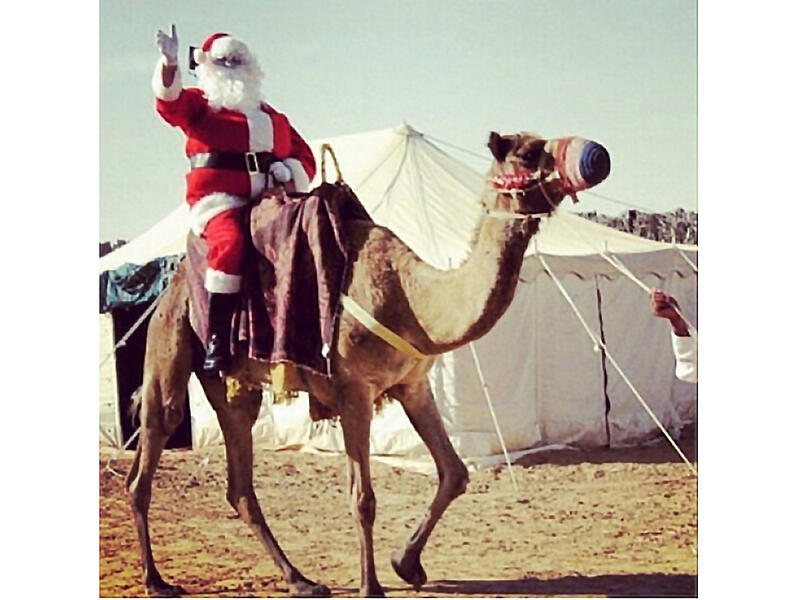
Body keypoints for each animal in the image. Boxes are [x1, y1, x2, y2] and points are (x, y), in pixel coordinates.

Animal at [125, 130, 610, 597]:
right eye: (528, 152)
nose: (596, 156)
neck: (413, 298)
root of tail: (168, 290)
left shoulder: (414, 384)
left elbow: (454, 472)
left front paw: (407, 565)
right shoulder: (353, 392)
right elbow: (363, 497)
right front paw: (372, 586)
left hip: (232, 384)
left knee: (240, 481)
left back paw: (302, 581)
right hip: (168, 343)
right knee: (156, 441)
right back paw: (157, 581)